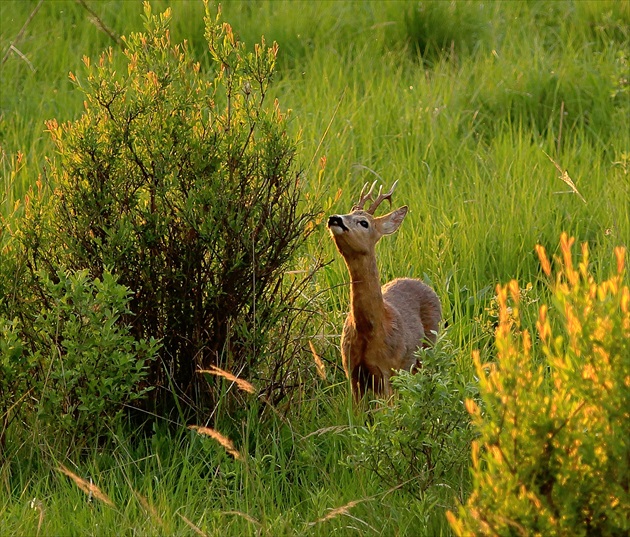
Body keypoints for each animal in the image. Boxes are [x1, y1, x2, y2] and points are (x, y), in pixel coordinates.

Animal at [328, 180, 442, 398]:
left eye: (364, 223)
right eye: (348, 212)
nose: (334, 218)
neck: (368, 331)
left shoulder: (388, 371)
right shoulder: (351, 371)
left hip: (428, 347)